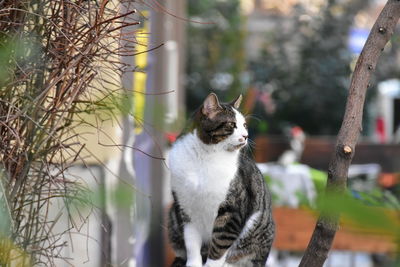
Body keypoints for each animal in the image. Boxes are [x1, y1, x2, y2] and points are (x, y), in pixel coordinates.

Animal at [166, 93, 276, 266]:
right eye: (232, 124)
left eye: (244, 125)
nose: (246, 136)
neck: (204, 157)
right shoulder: (185, 208)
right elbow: (191, 244)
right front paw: (193, 263)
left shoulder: (231, 212)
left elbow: (219, 246)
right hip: (172, 215)